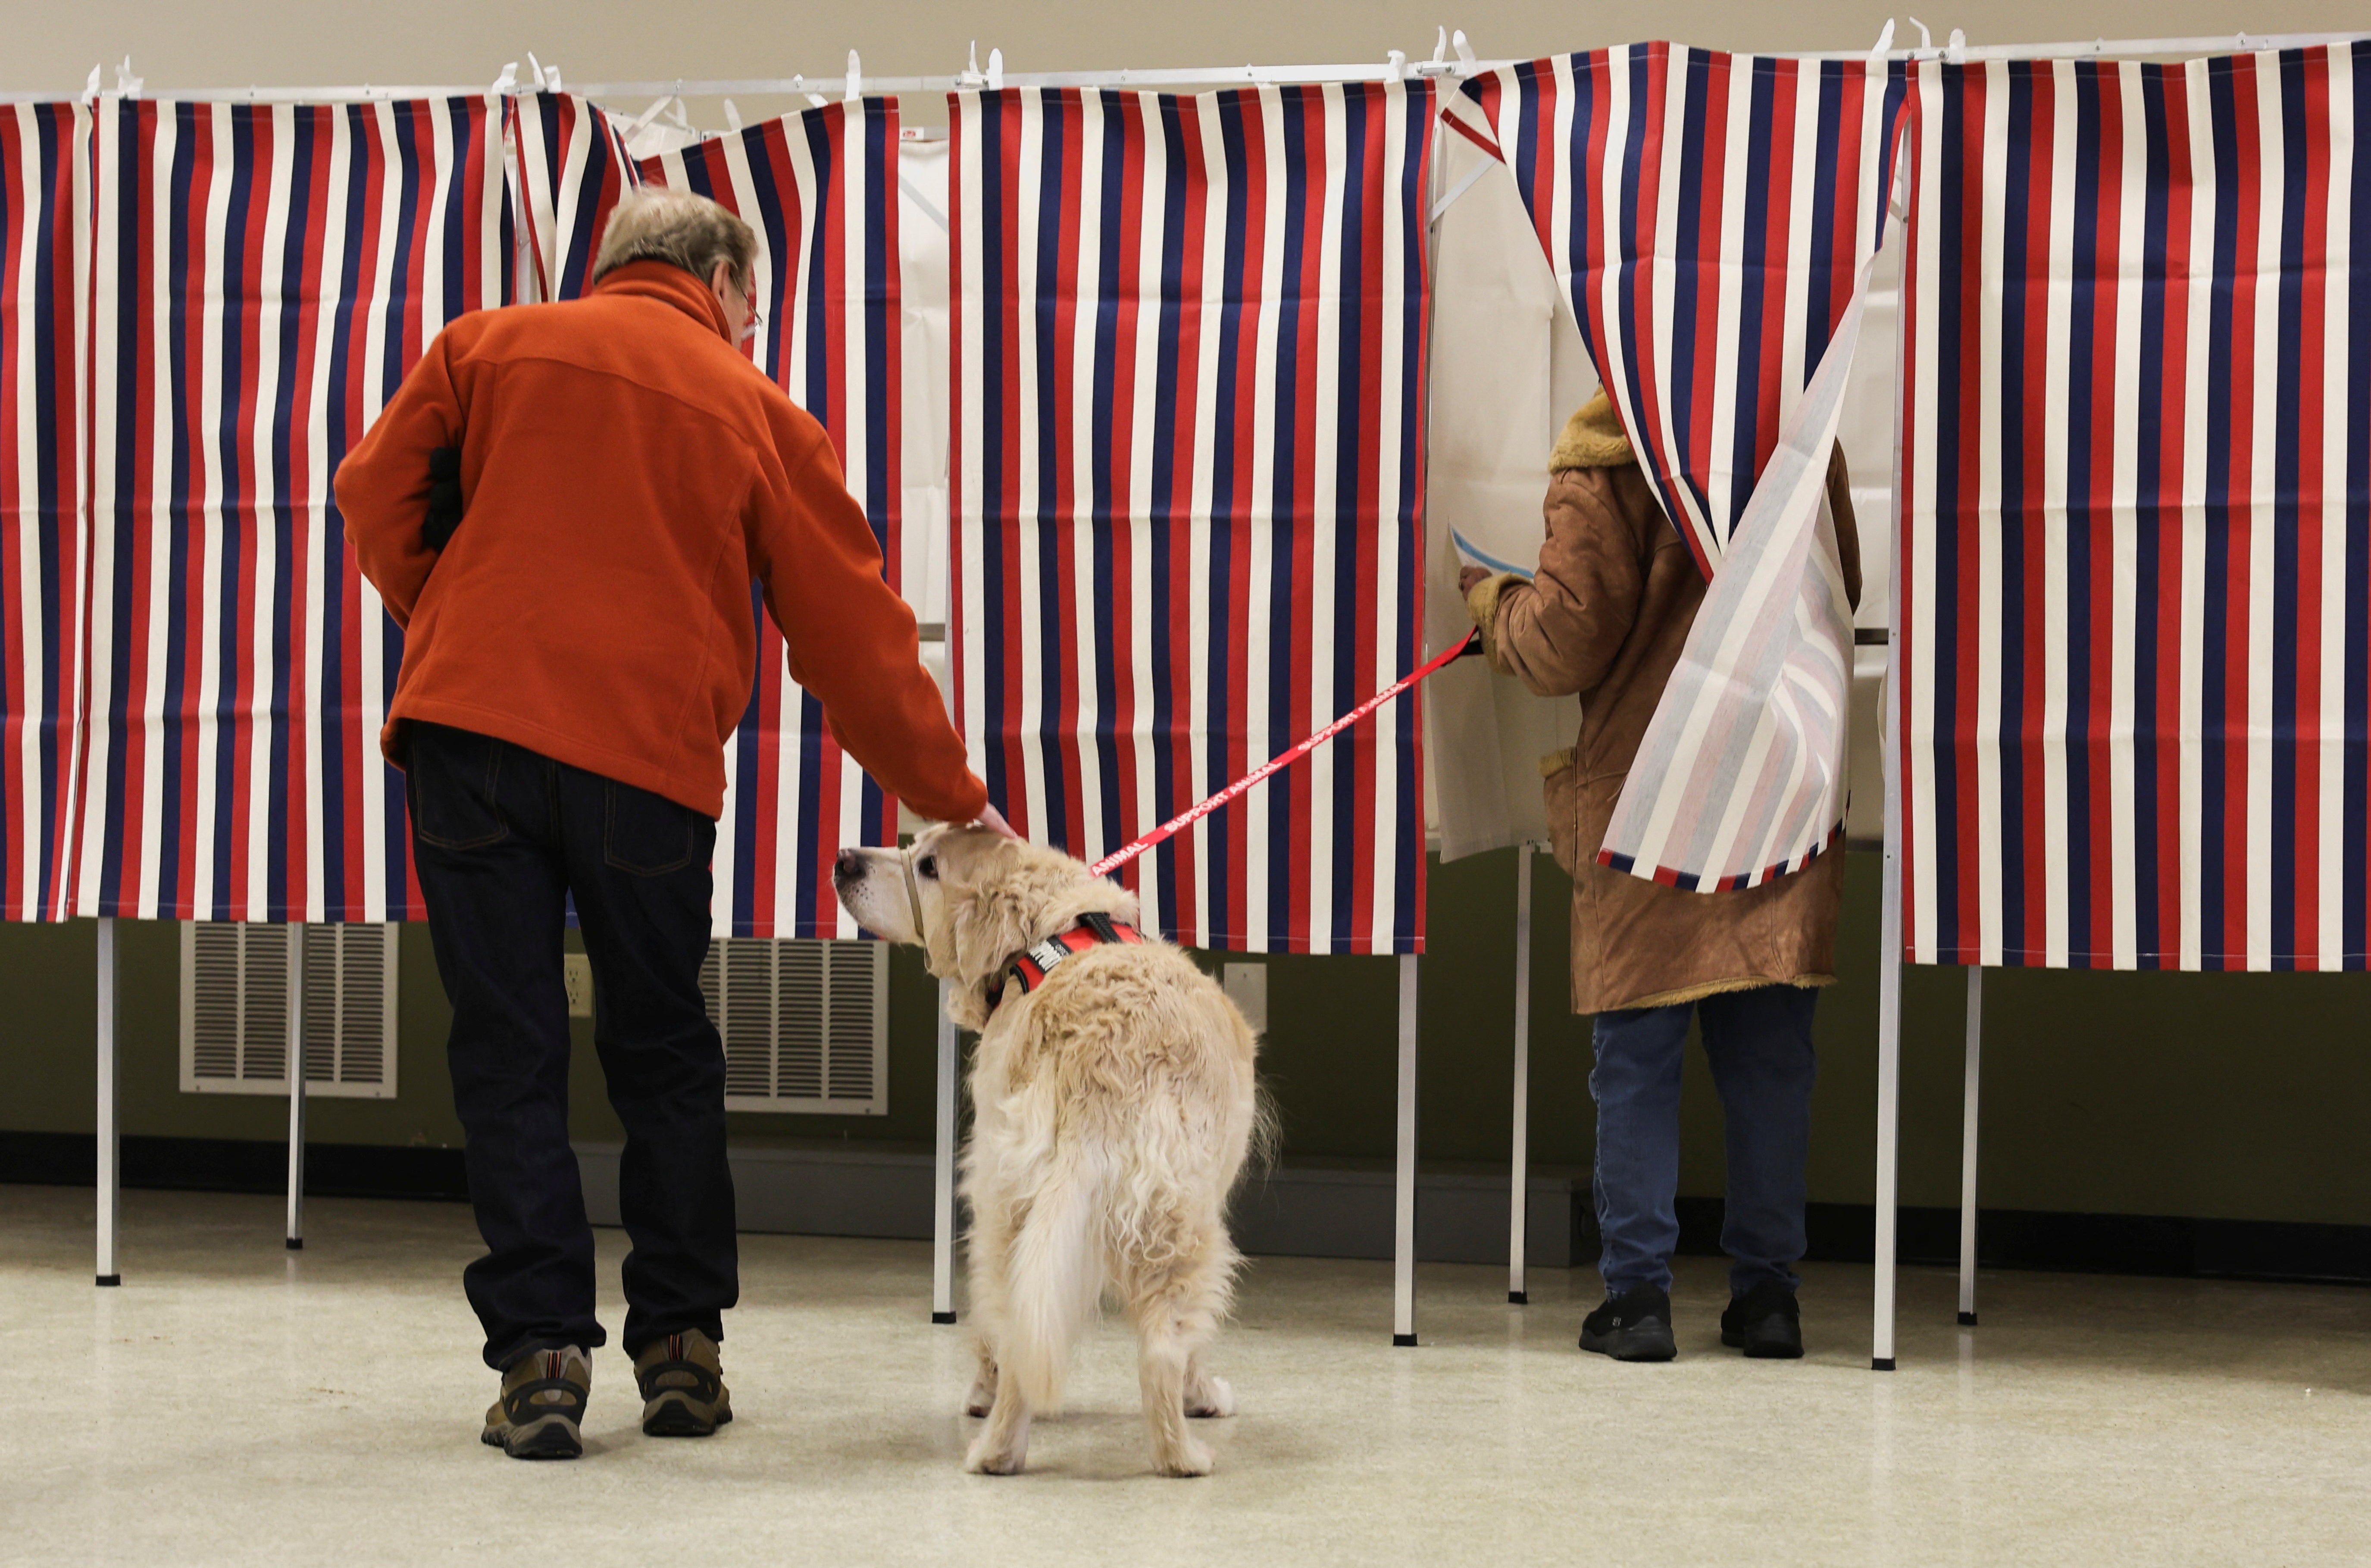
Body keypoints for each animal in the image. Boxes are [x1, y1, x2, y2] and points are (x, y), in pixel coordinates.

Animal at [839, 825, 1271, 1471]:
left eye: (928, 865)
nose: (844, 860)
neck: (1051, 930)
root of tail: (1101, 1065)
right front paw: (1206, 1396)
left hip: (1026, 1214)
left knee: (1041, 1335)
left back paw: (1012, 1450)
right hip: (1158, 1223)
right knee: (1154, 1351)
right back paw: (1175, 1454)